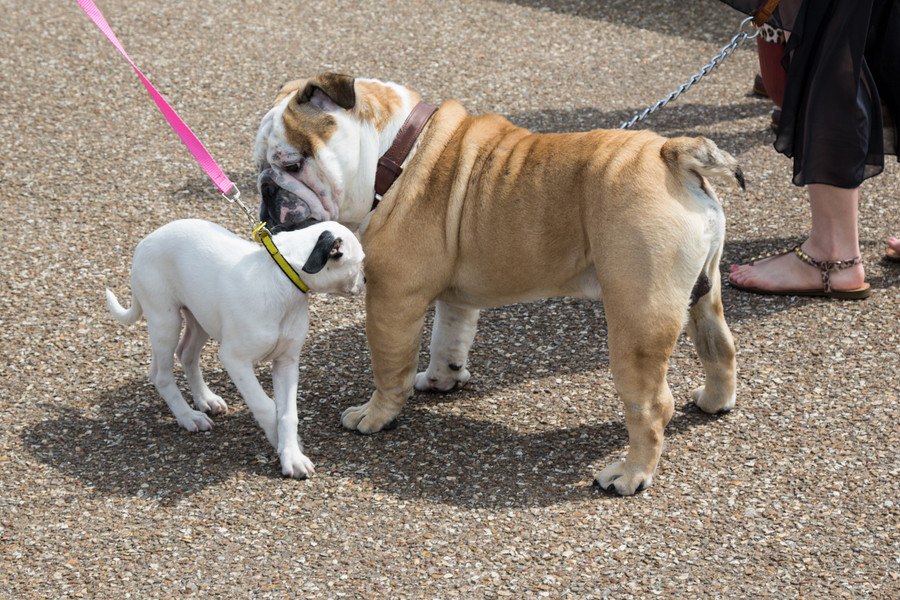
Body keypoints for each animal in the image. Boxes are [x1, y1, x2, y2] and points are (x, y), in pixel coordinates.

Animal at [102, 219, 362, 478]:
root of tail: (146, 241)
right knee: (161, 375)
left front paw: (292, 454)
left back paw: (205, 399)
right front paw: (278, 441)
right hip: (165, 321)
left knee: (186, 354)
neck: (280, 280)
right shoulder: (235, 360)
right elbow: (265, 406)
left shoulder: (286, 362)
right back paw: (188, 416)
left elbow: (289, 414)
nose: (366, 280)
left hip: (199, 317)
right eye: (360, 261)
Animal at [251, 72, 740, 494]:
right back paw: (714, 402)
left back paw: (630, 474)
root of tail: (670, 153)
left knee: (652, 404)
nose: (266, 190)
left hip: (638, 316)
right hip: (701, 293)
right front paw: (441, 379)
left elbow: (390, 368)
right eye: (260, 167)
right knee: (719, 346)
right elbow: (448, 339)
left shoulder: (391, 298)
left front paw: (374, 416)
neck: (393, 155)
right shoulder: (455, 300)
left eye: (292, 164)